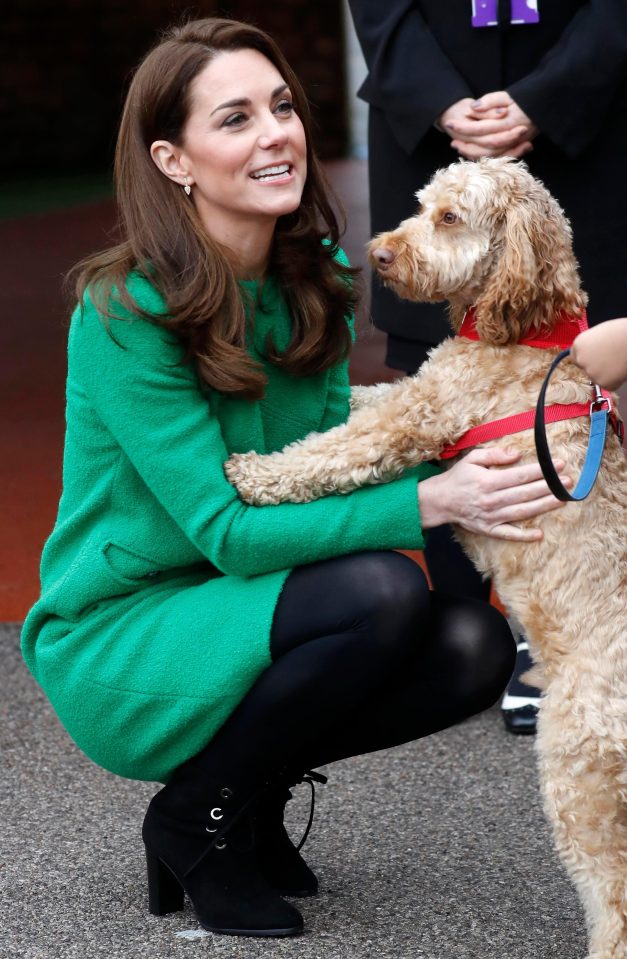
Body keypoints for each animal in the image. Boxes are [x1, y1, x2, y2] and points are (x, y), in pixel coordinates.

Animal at [227, 158, 627, 959]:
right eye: (418, 204)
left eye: (449, 217)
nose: (376, 253)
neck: (528, 329)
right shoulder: (413, 391)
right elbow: (356, 398)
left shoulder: (416, 416)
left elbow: (332, 449)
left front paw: (256, 472)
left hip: (579, 775)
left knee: (614, 897)